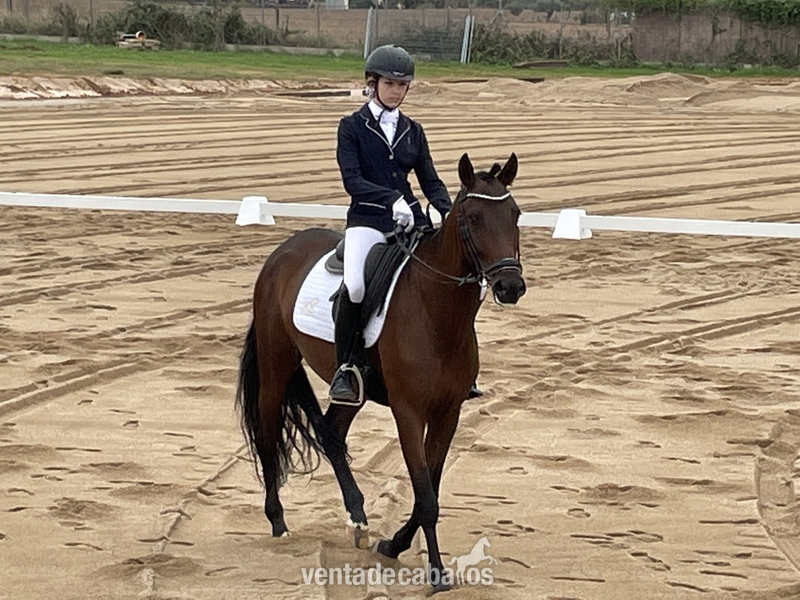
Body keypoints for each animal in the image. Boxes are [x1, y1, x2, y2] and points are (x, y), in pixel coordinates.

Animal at [236, 152, 526, 593]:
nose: (511, 286)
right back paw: (278, 521)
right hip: (276, 361)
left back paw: (357, 519)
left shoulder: (449, 412)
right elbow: (425, 493)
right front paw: (436, 573)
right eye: (473, 217)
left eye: (516, 214)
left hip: (352, 389)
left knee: (331, 433)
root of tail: (283, 251)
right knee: (269, 429)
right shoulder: (408, 412)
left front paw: (394, 544)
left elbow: (430, 487)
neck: (436, 311)